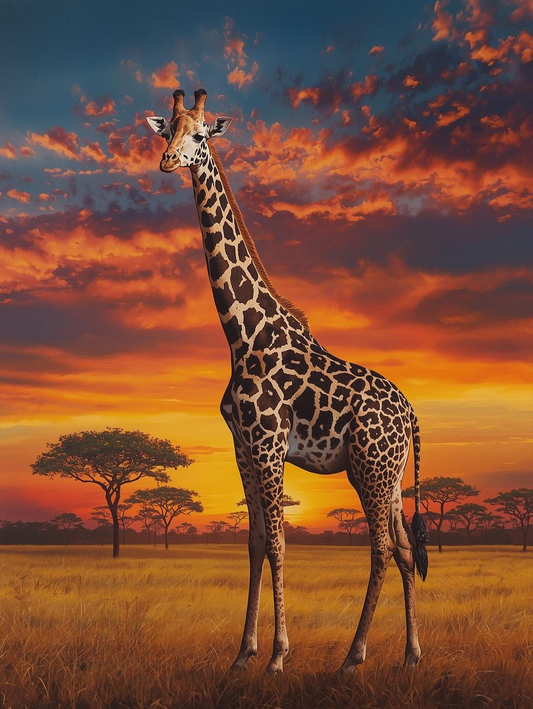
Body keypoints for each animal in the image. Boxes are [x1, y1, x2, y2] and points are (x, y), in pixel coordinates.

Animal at [147, 89, 429, 674]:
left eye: (200, 135)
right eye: (168, 132)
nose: (168, 161)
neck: (241, 335)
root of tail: (411, 413)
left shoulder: (270, 443)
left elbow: (278, 543)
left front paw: (278, 655)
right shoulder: (242, 446)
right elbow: (254, 542)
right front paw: (243, 653)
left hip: (369, 470)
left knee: (381, 548)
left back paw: (353, 657)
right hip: (390, 475)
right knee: (404, 547)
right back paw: (411, 654)